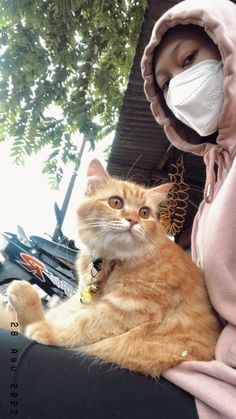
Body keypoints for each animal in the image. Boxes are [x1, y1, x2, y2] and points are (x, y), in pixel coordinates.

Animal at [5, 160, 220, 378]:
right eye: (116, 202)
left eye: (144, 212)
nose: (133, 220)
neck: (110, 260)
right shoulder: (84, 297)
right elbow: (66, 313)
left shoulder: (130, 305)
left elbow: (82, 323)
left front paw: (48, 330)